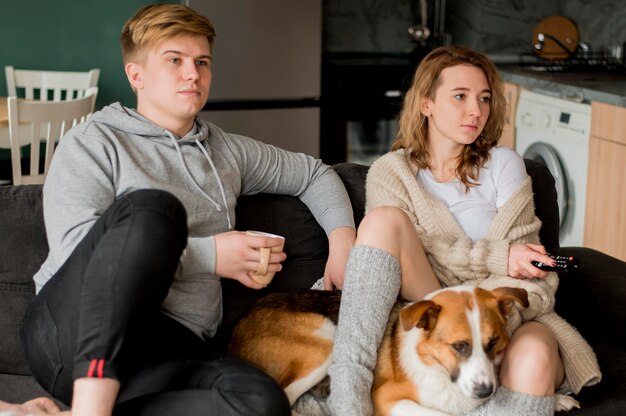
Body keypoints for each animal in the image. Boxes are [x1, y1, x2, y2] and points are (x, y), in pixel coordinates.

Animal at [229, 286, 576, 416]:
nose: (484, 391)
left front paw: (557, 399)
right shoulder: (388, 400)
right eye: (459, 346)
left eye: (494, 344)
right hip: (327, 339)